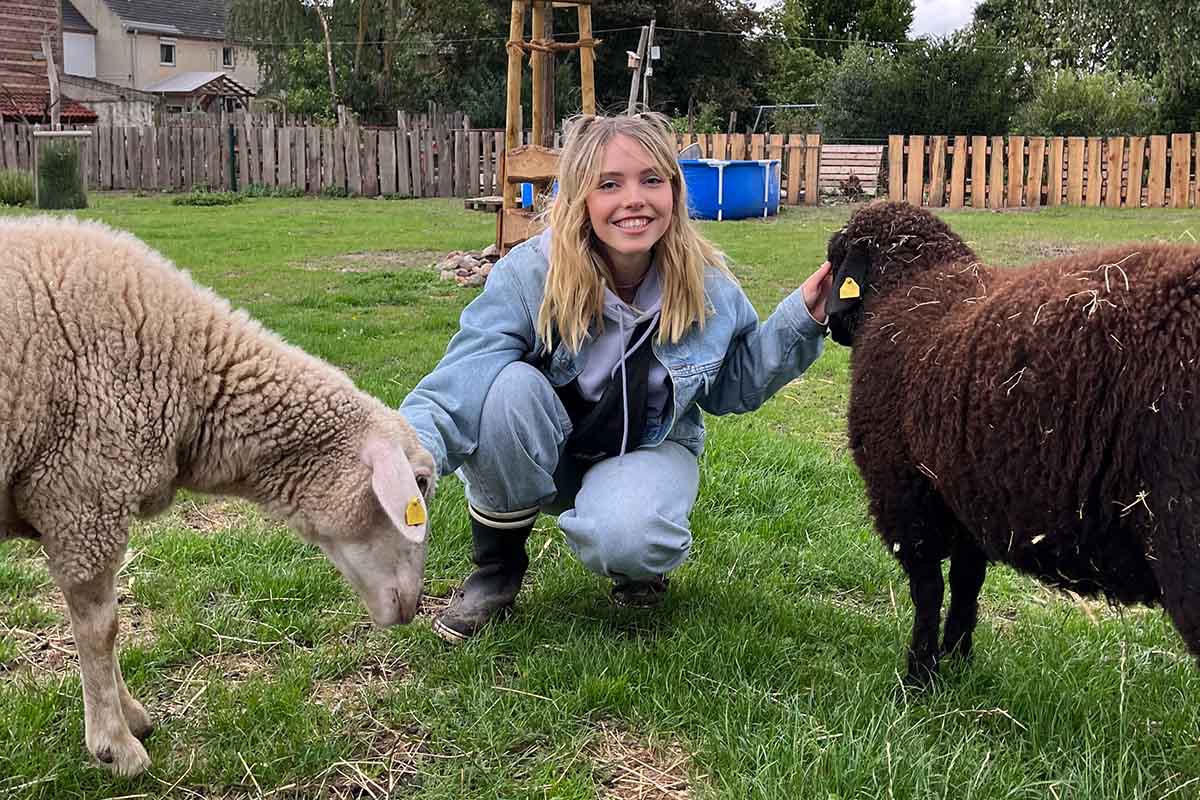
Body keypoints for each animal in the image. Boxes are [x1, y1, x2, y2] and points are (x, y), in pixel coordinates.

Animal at [0, 217, 439, 777]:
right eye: (420, 484)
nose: (415, 607)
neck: (190, 375)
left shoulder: (80, 507)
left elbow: (103, 624)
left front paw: (129, 716)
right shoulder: (82, 496)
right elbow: (101, 628)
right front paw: (116, 744)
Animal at [825, 201, 1200, 690]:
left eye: (833, 259)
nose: (829, 324)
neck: (909, 285)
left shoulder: (906, 493)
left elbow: (927, 590)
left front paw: (919, 676)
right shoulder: (964, 494)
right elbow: (967, 582)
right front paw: (958, 660)